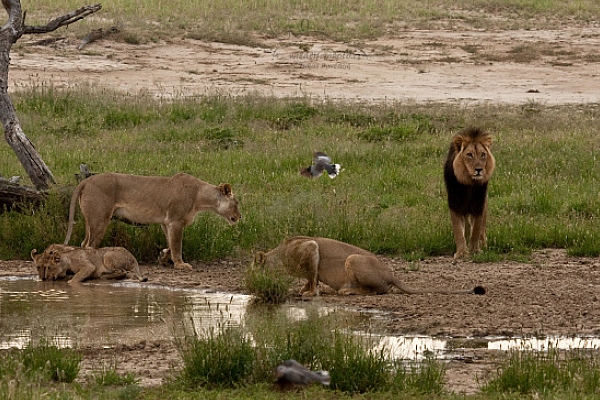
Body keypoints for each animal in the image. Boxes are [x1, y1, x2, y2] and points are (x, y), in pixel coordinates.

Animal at [61, 172, 239, 268]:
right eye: (236, 203)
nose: (240, 217)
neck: (200, 197)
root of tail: (86, 180)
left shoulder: (166, 222)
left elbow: (170, 242)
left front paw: (164, 257)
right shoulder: (176, 221)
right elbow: (177, 244)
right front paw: (180, 264)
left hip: (91, 220)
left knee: (84, 244)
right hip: (100, 219)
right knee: (90, 245)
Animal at [440, 127, 496, 260]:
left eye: (483, 154)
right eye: (469, 155)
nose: (479, 169)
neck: (470, 183)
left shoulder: (479, 204)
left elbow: (476, 229)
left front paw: (475, 250)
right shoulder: (455, 204)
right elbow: (458, 231)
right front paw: (461, 252)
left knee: (482, 228)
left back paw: (483, 244)